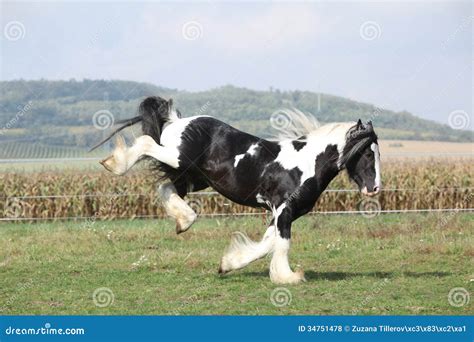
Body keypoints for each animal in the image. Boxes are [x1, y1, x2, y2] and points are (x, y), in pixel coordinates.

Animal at [94, 96, 380, 284]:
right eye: (367, 153)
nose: (374, 188)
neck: (306, 163)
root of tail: (178, 121)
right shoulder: (284, 209)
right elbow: (281, 244)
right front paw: (289, 277)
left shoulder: (281, 213)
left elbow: (266, 245)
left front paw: (226, 265)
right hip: (177, 160)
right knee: (145, 143)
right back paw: (113, 164)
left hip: (193, 176)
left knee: (166, 187)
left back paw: (183, 222)